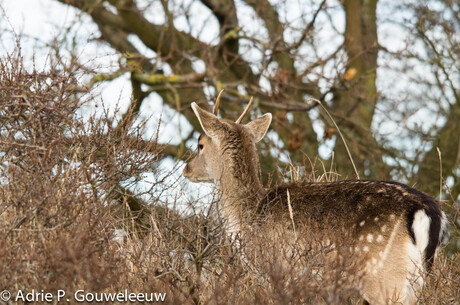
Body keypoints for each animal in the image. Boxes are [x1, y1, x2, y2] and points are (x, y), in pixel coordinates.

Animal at [181, 93, 448, 304]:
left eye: (200, 144)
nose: (186, 168)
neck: (249, 214)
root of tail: (427, 211)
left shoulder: (274, 270)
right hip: (417, 279)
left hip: (382, 274)